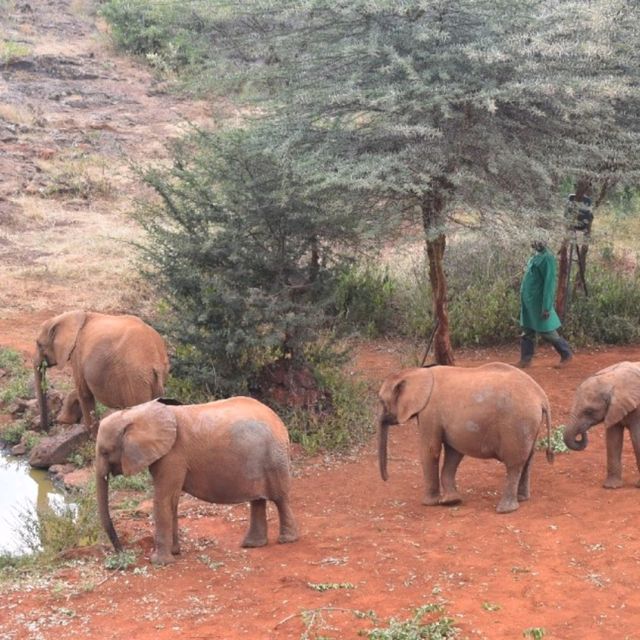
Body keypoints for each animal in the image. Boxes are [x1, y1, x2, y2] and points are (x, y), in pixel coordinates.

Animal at [34, 310, 170, 430]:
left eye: (39, 344)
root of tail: (154, 359)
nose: (46, 428)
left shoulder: (77, 353)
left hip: (134, 378)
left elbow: (84, 393)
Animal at [95, 398, 300, 568]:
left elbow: (163, 499)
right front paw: (175, 553)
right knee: (257, 500)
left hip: (274, 458)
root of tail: (279, 421)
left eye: (105, 452)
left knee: (280, 499)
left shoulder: (173, 455)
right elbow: (172, 501)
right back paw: (252, 545)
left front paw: (159, 562)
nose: (121, 552)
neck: (136, 413)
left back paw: (287, 540)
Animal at [378, 362, 552, 512]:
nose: (386, 478)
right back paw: (522, 498)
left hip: (516, 423)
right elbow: (453, 453)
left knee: (514, 464)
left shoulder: (429, 411)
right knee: (527, 460)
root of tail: (541, 396)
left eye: (381, 401)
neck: (419, 372)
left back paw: (504, 510)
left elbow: (431, 450)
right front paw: (452, 501)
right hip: (529, 424)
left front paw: (429, 503)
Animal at [564, 360, 640, 490]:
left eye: (589, 411)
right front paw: (611, 487)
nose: (583, 430)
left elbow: (637, 439)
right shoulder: (614, 409)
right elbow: (612, 439)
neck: (612, 380)